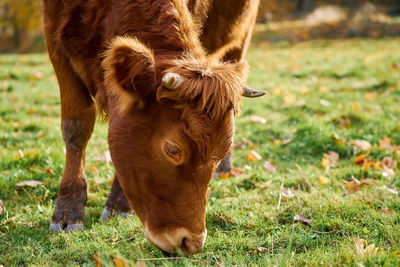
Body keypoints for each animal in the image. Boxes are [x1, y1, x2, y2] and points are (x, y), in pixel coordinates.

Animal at [43, 0, 262, 255]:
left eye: (220, 150)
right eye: (172, 149)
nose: (191, 242)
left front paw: (119, 205)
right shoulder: (55, 42)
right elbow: (76, 127)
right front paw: (68, 210)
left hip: (239, 41)